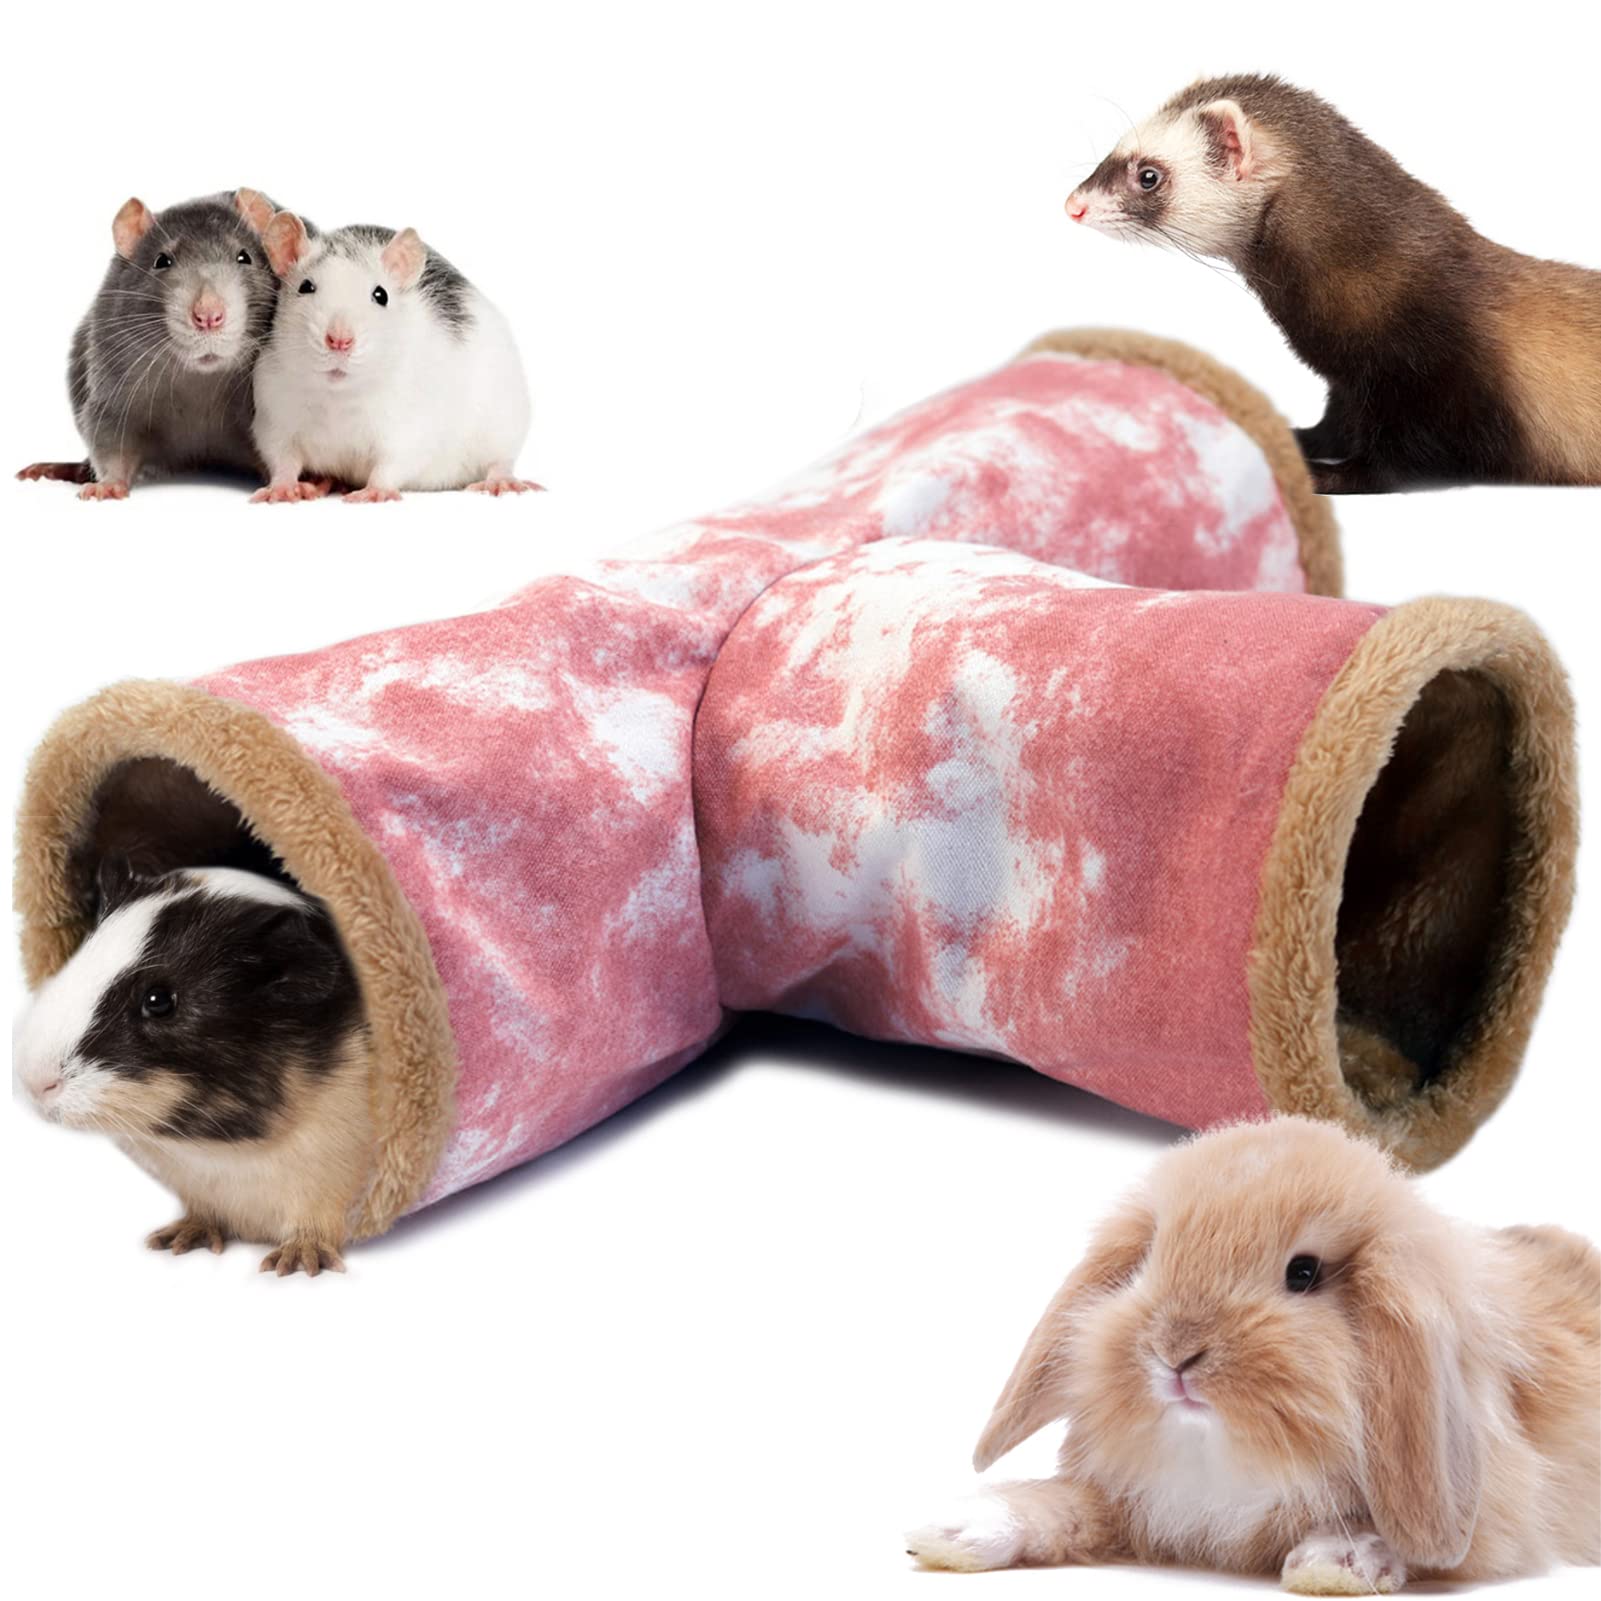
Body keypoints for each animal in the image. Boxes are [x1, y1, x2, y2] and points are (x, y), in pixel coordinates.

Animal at [906, 1117, 1599, 1593]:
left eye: (1304, 1273)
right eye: (1149, 1257)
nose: (1175, 1352)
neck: (1226, 1457)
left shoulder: (1500, 1518)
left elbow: (1422, 1542)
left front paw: (1335, 1562)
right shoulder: (1134, 1501)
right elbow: (1063, 1503)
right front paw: (951, 1532)